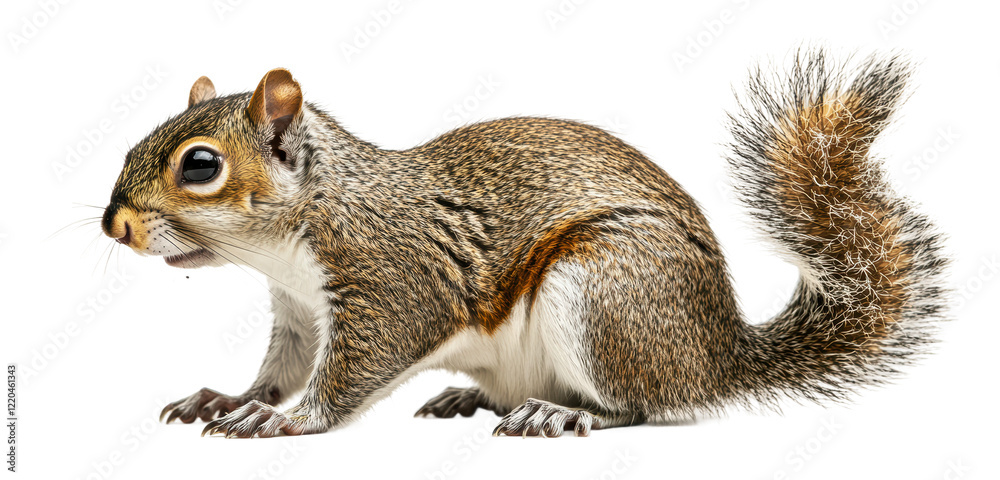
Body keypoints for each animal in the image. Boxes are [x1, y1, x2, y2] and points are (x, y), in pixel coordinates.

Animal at [100, 48, 947, 438]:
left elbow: (350, 372)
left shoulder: (391, 280)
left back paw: (569, 417)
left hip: (608, 293)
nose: (116, 224)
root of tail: (717, 352)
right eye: (140, 138)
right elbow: (277, 371)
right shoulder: (299, 310)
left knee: (647, 407)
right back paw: (470, 396)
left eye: (200, 165)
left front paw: (286, 421)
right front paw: (229, 399)